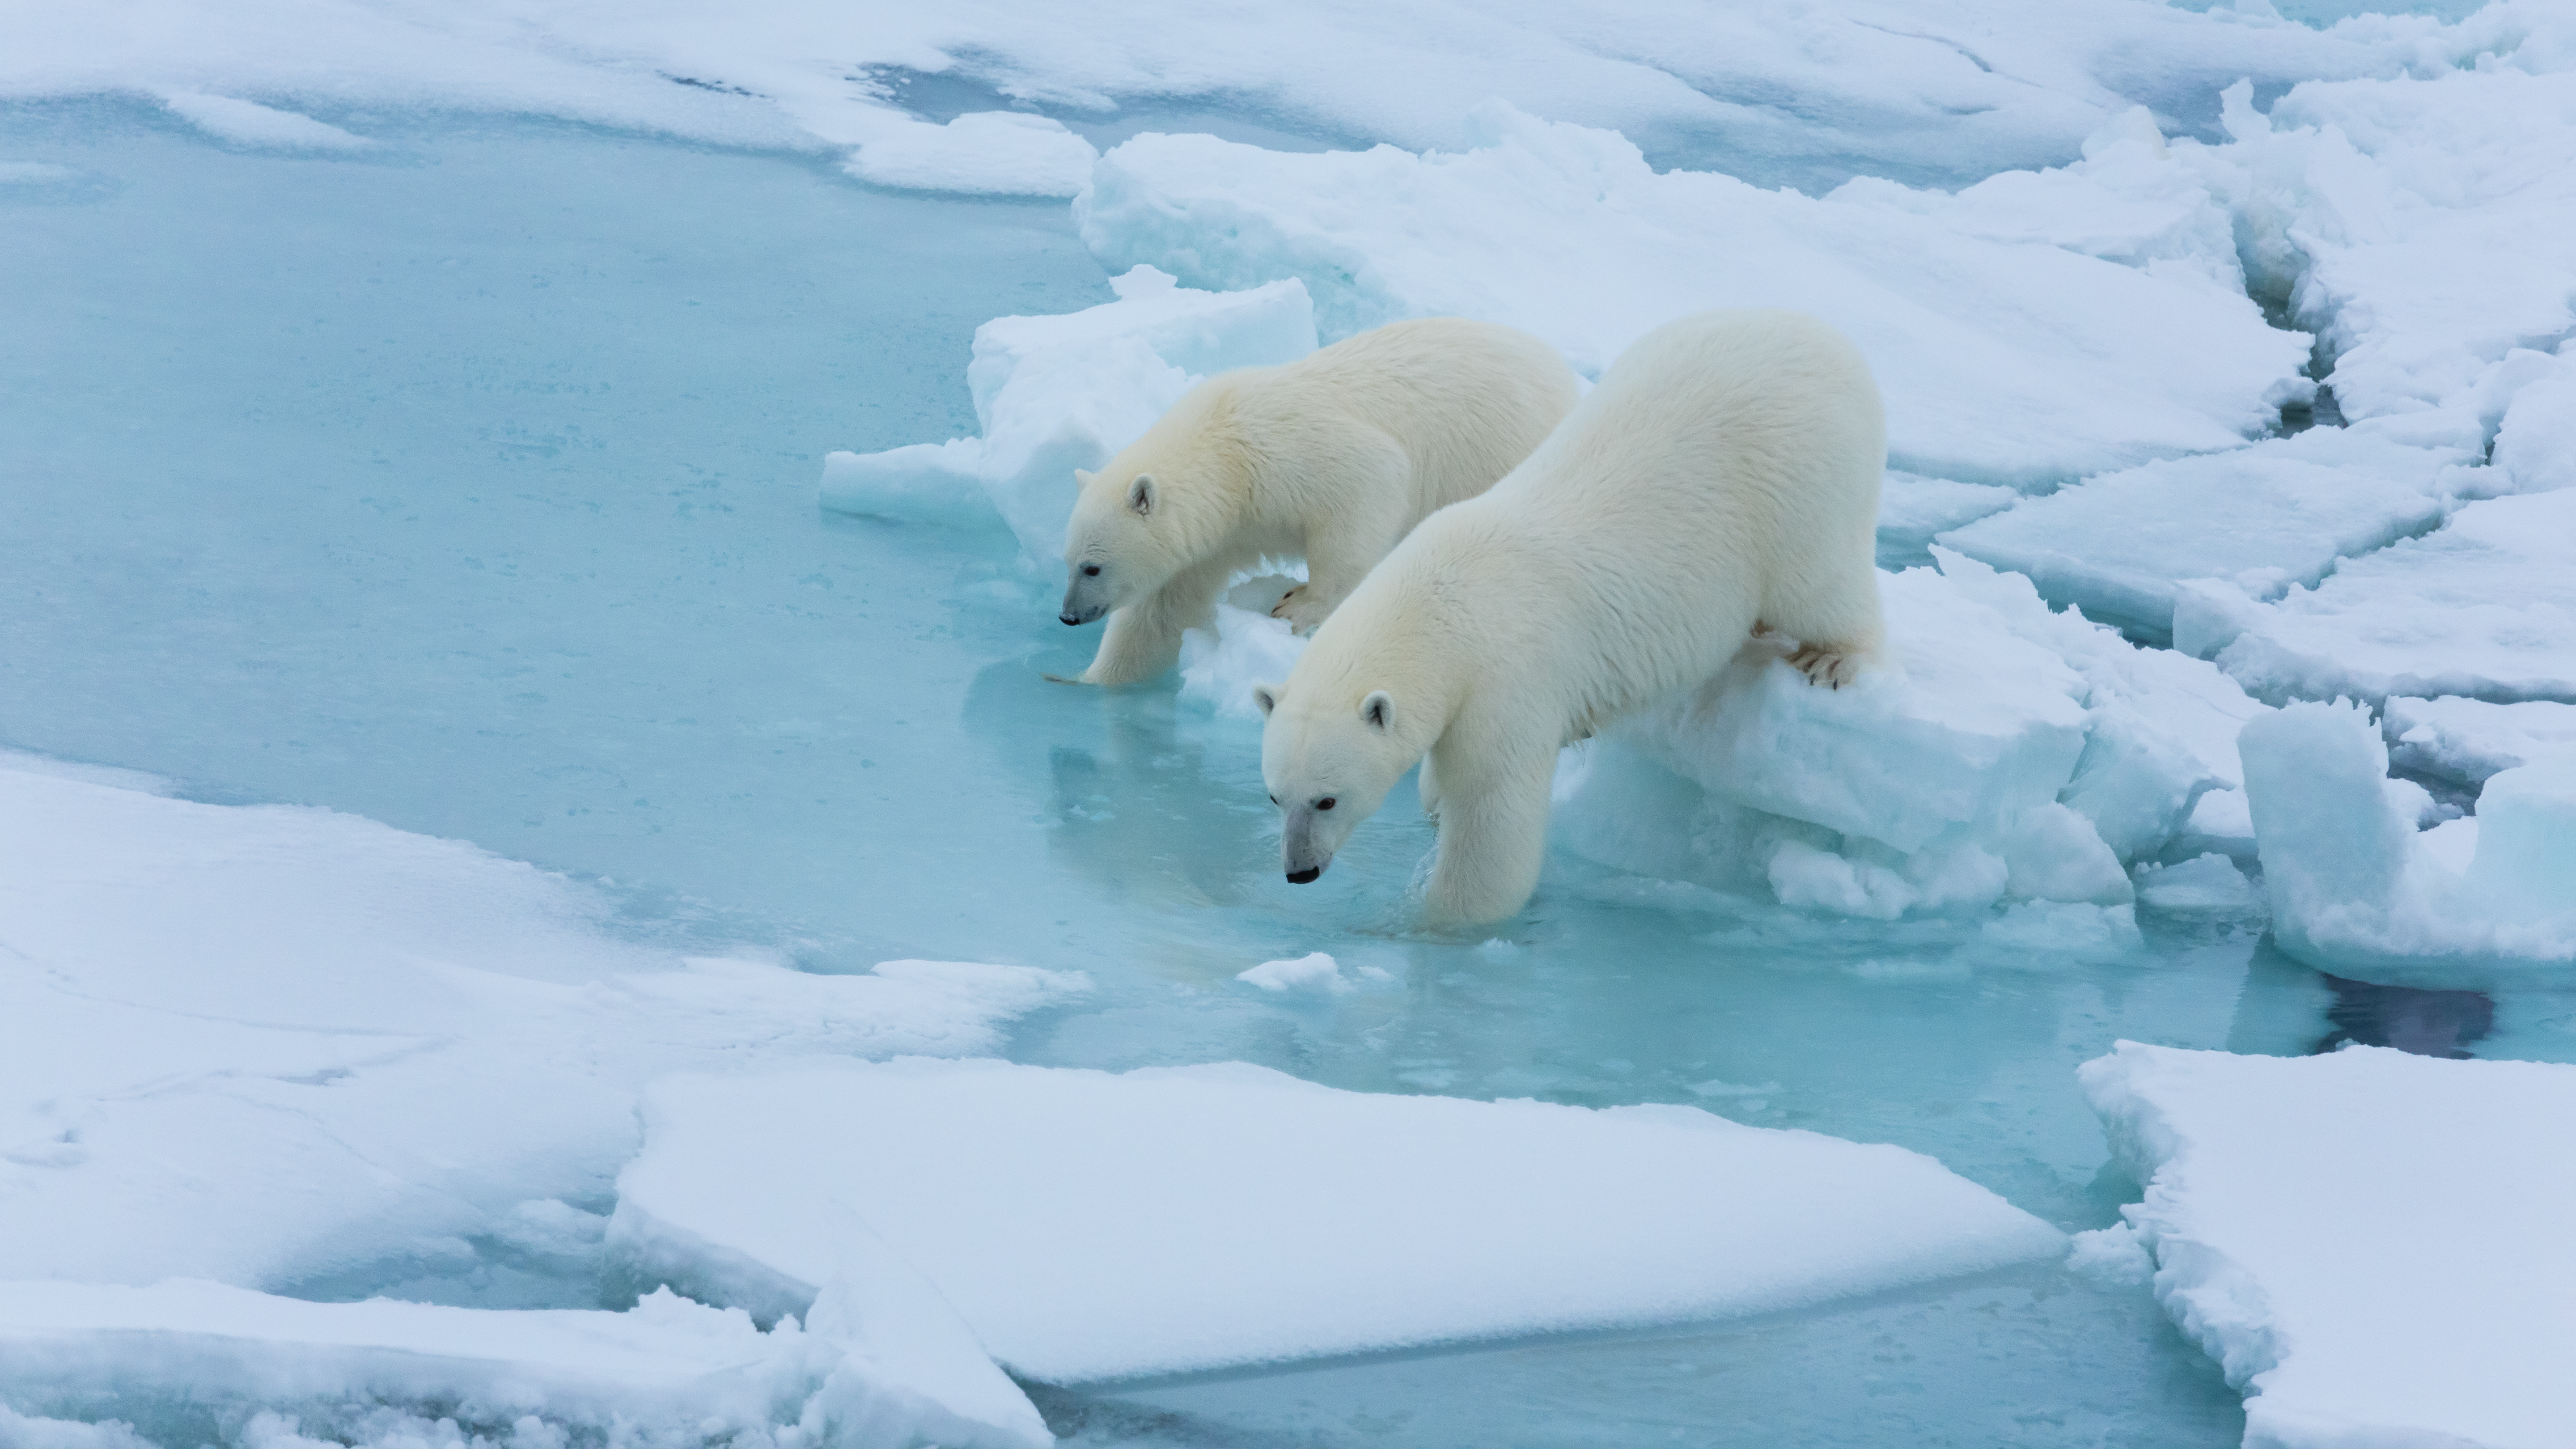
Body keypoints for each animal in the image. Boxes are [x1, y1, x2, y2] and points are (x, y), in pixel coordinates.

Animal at [1056, 314, 1576, 680]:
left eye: (1093, 567)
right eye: (1068, 561)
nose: (1068, 616)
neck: (1224, 449)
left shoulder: (1286, 454)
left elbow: (1369, 484)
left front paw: (1298, 605)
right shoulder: (1216, 536)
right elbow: (1162, 611)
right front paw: (1083, 681)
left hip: (1501, 448)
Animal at [1252, 309, 1885, 918]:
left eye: (1327, 799)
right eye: (1275, 795)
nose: (1299, 870)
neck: (1441, 606)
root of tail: (1832, 344)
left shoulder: (1506, 683)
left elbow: (1492, 815)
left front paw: (1436, 920)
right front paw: (1431, 803)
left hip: (1796, 481)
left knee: (1820, 582)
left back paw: (1831, 658)